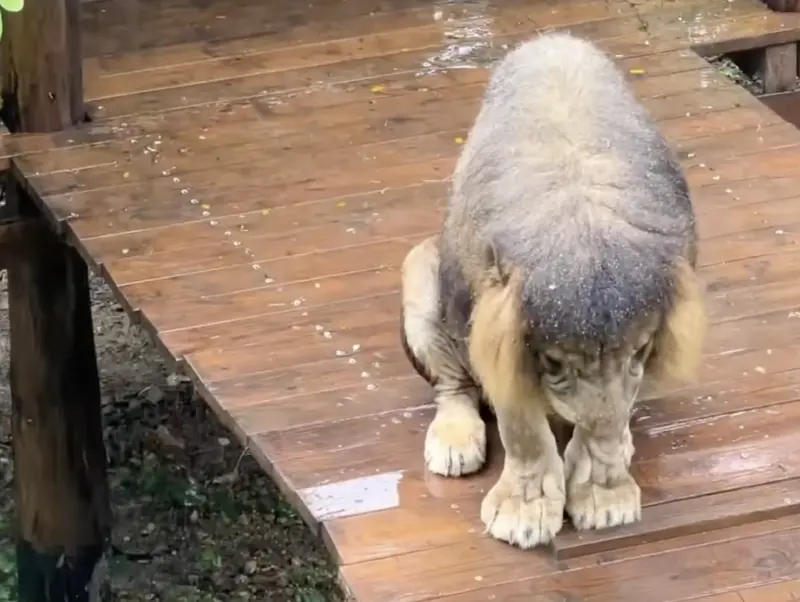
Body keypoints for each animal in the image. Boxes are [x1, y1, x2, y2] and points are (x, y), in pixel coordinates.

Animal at [400, 34, 708, 548]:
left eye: (640, 351)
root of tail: (553, 39)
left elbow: (607, 420)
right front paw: (522, 513)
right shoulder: (494, 328)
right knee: (453, 387)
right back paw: (454, 443)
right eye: (555, 362)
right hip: (421, 271)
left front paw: (604, 495)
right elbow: (522, 427)